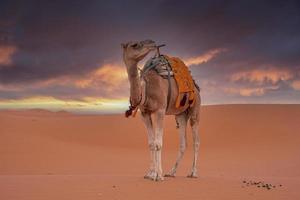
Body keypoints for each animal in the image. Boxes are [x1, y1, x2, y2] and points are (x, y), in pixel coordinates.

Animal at [120, 39, 200, 181]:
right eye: (135, 45)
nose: (152, 42)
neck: (146, 89)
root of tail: (195, 85)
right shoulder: (145, 113)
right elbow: (151, 143)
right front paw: (150, 173)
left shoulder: (160, 110)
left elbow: (158, 143)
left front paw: (158, 175)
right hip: (180, 114)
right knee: (183, 143)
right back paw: (171, 172)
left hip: (195, 108)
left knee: (196, 142)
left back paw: (193, 173)